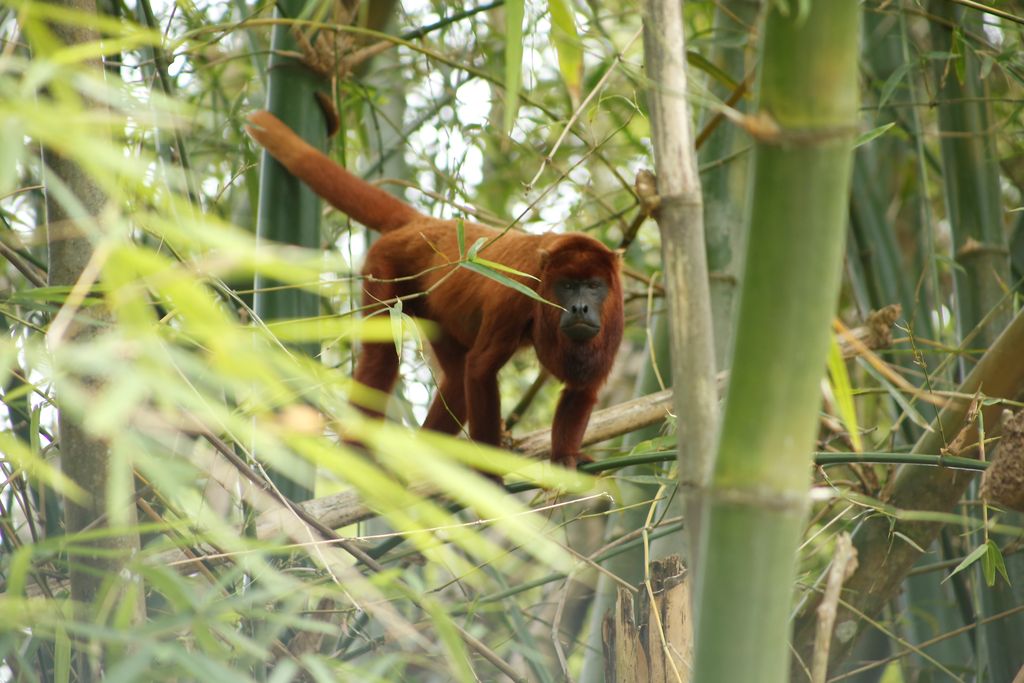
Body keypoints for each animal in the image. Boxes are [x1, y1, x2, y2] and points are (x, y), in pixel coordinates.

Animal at [246, 110, 624, 469]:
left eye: (593, 286)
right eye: (567, 286)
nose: (579, 307)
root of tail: (422, 224)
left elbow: (583, 387)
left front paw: (565, 457)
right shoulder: (517, 294)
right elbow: (481, 370)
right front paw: (489, 477)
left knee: (455, 382)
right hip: (383, 270)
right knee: (384, 354)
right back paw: (359, 454)